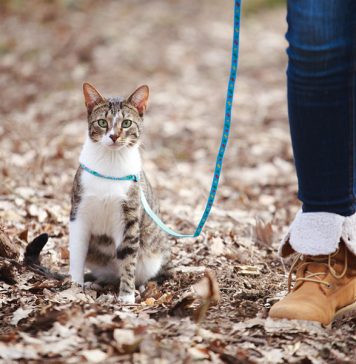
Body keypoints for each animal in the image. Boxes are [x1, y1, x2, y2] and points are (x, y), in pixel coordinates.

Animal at [70, 83, 170, 304]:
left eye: (126, 123)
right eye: (102, 122)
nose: (114, 136)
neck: (111, 162)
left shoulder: (129, 218)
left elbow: (127, 258)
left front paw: (126, 296)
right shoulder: (79, 213)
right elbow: (77, 251)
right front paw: (74, 286)